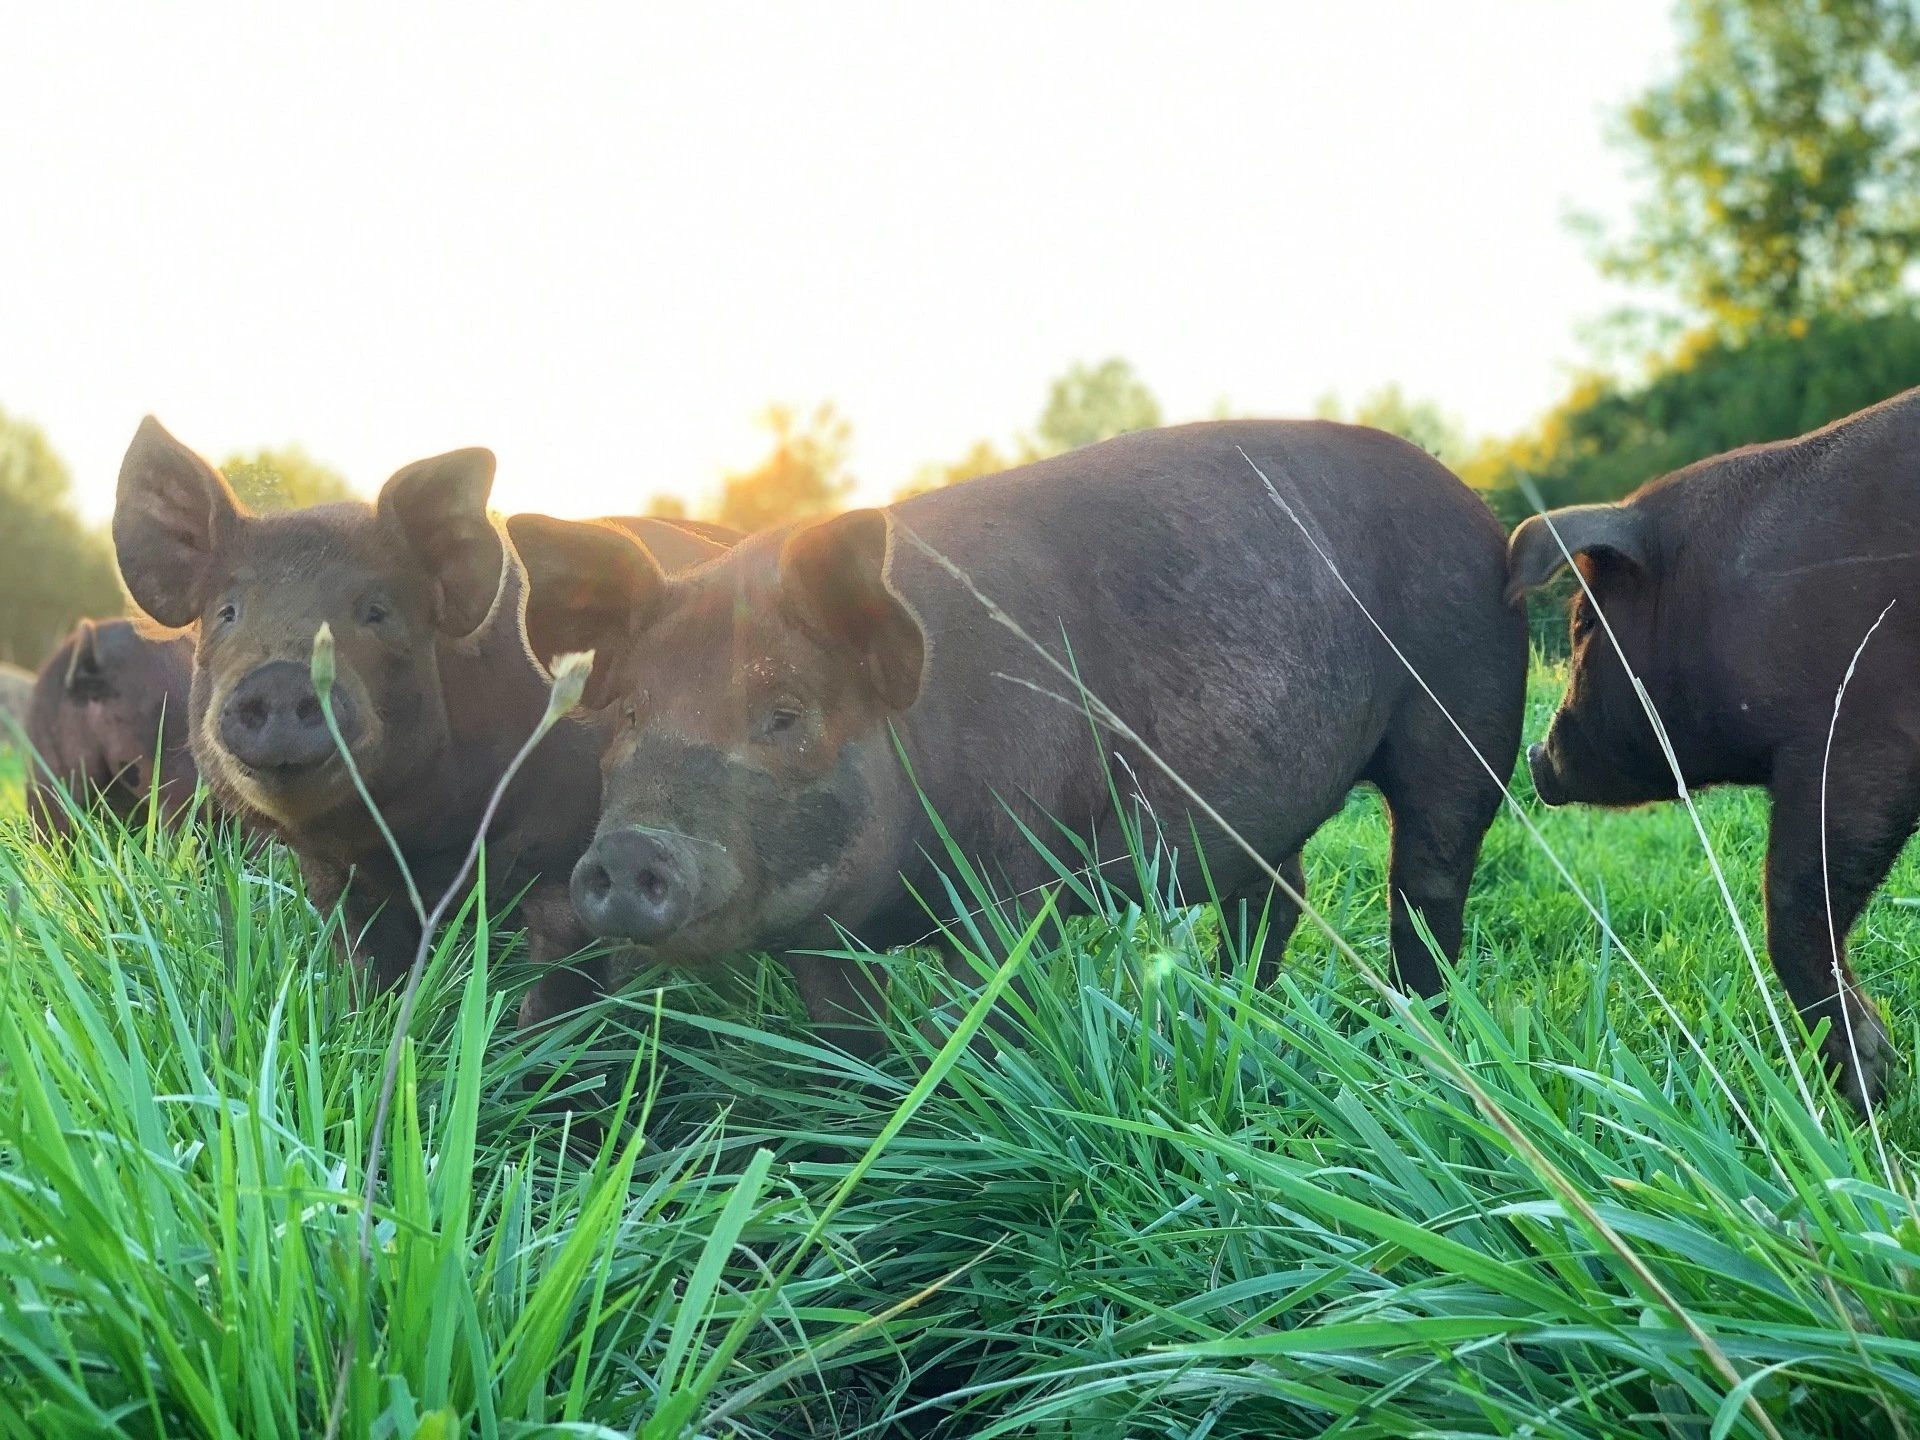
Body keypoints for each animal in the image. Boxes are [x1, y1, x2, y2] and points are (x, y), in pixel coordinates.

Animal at [111, 417, 733, 1023]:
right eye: (227, 613)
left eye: (377, 612)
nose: (281, 677)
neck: (420, 849)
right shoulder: (337, 881)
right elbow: (369, 966)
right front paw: (372, 1027)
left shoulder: (574, 849)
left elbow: (562, 978)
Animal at [509, 419, 1529, 1051]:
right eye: (629, 715)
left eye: (785, 713)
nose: (630, 851)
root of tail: (1485, 517)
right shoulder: (823, 939)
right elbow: (845, 1034)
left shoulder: (1010, 880)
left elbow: (986, 1014)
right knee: (1275, 899)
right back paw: (1238, 1012)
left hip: (1465, 724)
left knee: (1428, 884)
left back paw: (1424, 1030)